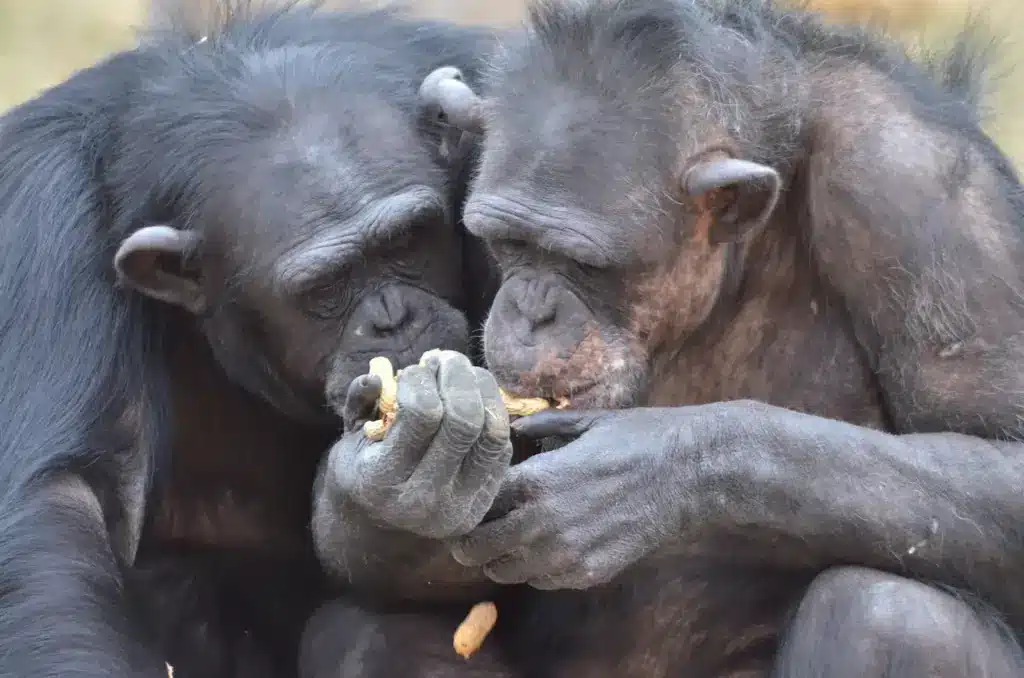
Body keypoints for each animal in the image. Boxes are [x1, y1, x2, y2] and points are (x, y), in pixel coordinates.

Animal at [303, 1, 1024, 678]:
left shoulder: (919, 189)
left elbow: (1000, 451)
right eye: (506, 243)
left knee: (895, 616)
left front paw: (640, 472)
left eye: (583, 264)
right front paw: (394, 475)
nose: (532, 312)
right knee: (368, 632)